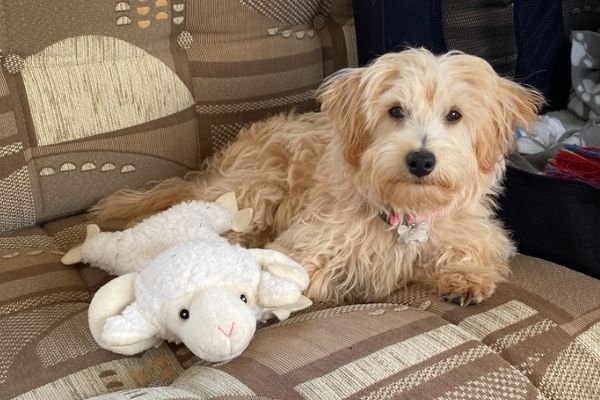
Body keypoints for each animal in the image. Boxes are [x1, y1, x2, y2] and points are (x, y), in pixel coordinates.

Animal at [92, 49, 544, 306]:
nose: (420, 160)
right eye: (396, 110)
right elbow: (301, 271)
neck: (406, 211)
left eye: (454, 115)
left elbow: (478, 249)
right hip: (258, 188)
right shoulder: (310, 240)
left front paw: (466, 279)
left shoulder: (475, 231)